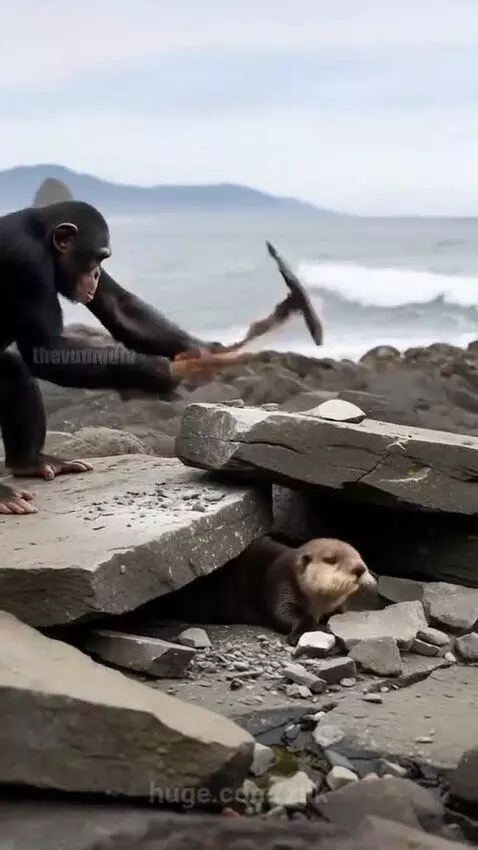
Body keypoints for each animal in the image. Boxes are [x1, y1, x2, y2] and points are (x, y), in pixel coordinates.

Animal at [134, 535, 376, 646]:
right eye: (330, 559)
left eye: (359, 556)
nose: (360, 568)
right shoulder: (281, 585)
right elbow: (284, 614)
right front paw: (306, 631)